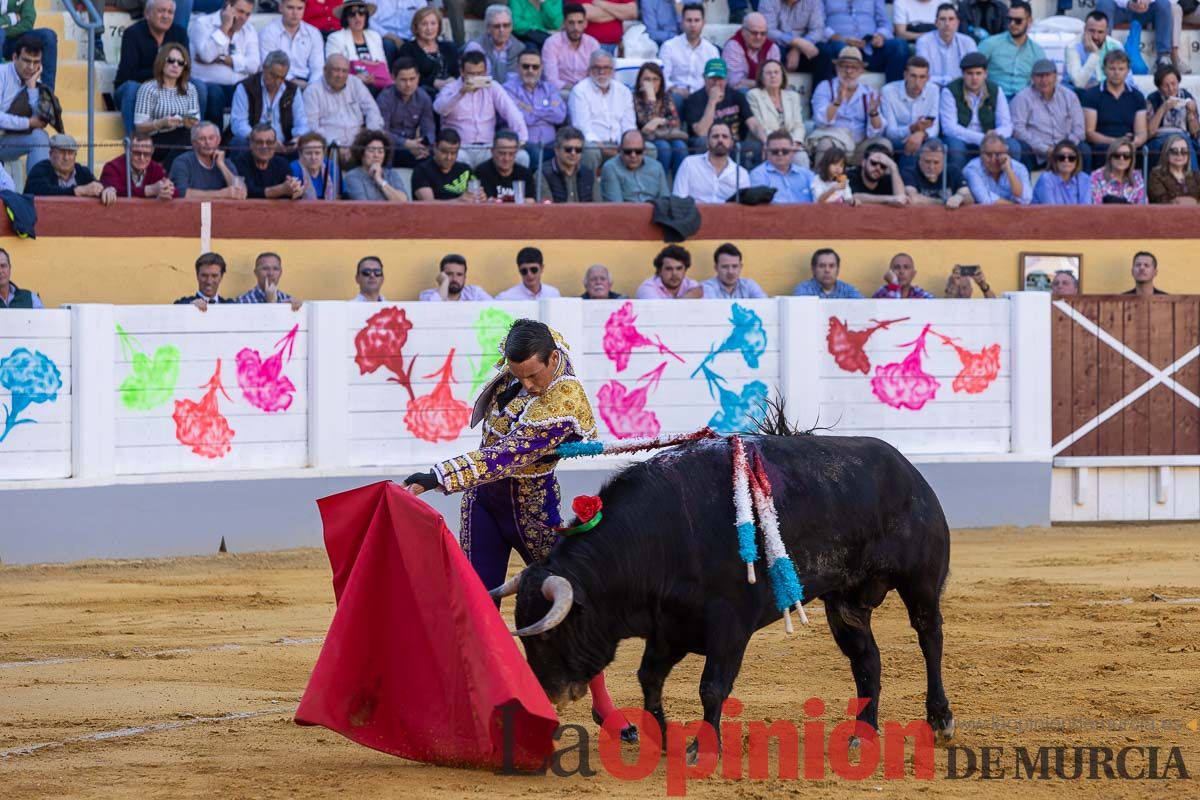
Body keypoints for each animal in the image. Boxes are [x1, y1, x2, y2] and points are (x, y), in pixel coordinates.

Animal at [496, 434, 955, 748]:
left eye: (550, 634)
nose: (550, 696)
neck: (659, 537)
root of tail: (907, 469)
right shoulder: (668, 628)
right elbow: (649, 679)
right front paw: (662, 739)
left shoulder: (729, 626)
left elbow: (711, 687)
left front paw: (703, 748)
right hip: (847, 602)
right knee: (867, 662)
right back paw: (863, 732)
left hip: (920, 582)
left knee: (930, 637)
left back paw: (940, 720)